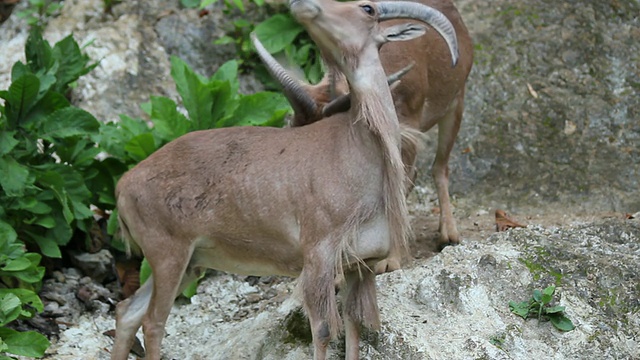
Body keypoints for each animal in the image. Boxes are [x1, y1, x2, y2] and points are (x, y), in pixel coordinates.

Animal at [111, 0, 460, 360]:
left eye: (367, 8)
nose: (304, 6)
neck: (363, 152)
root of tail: (123, 187)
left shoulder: (358, 265)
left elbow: (354, 324)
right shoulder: (319, 254)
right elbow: (322, 329)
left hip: (189, 261)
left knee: (127, 311)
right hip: (169, 253)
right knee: (153, 322)